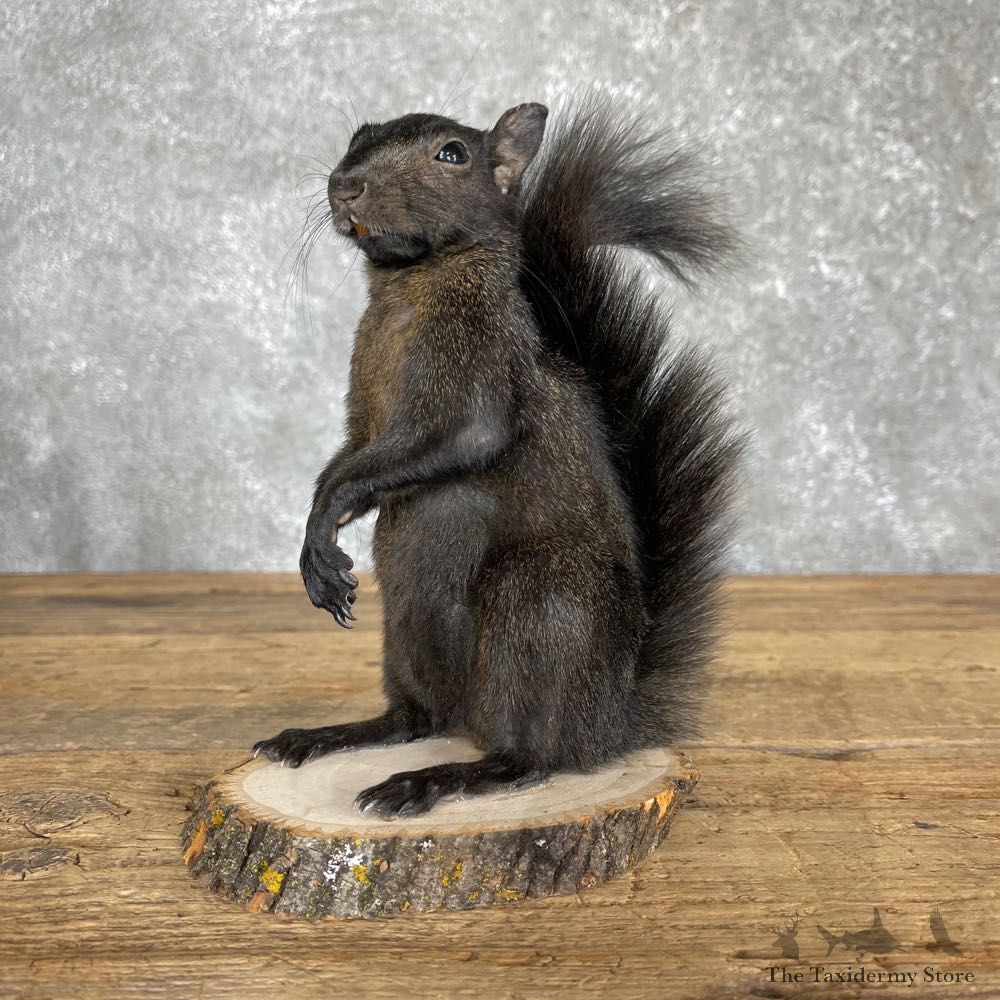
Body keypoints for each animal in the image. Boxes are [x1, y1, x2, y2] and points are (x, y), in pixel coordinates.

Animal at [252, 96, 743, 819]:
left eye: (453, 154)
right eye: (357, 136)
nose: (345, 186)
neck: (412, 284)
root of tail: (609, 721)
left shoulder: (482, 360)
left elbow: (464, 438)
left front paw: (327, 521)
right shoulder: (364, 417)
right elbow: (348, 454)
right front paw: (318, 540)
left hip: (533, 609)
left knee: (530, 758)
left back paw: (436, 779)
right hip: (406, 630)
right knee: (417, 718)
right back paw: (333, 736)